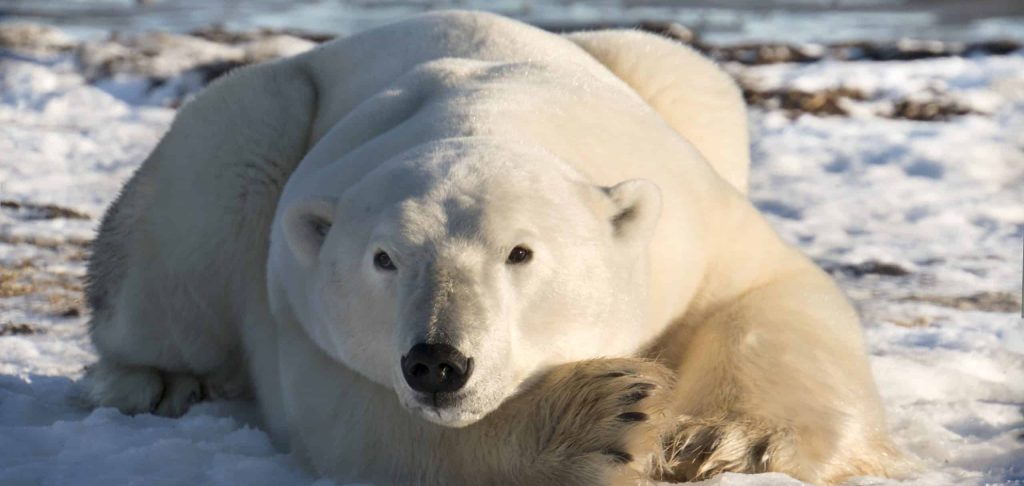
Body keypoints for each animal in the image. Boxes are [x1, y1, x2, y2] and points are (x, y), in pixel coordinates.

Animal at [83, 10, 902, 485]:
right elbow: (367, 425)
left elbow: (769, 296)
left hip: (674, 80)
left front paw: (725, 439)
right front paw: (608, 416)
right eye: (384, 259)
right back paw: (153, 381)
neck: (487, 116)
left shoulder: (691, 223)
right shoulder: (300, 309)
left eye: (520, 253)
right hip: (247, 136)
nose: (437, 363)